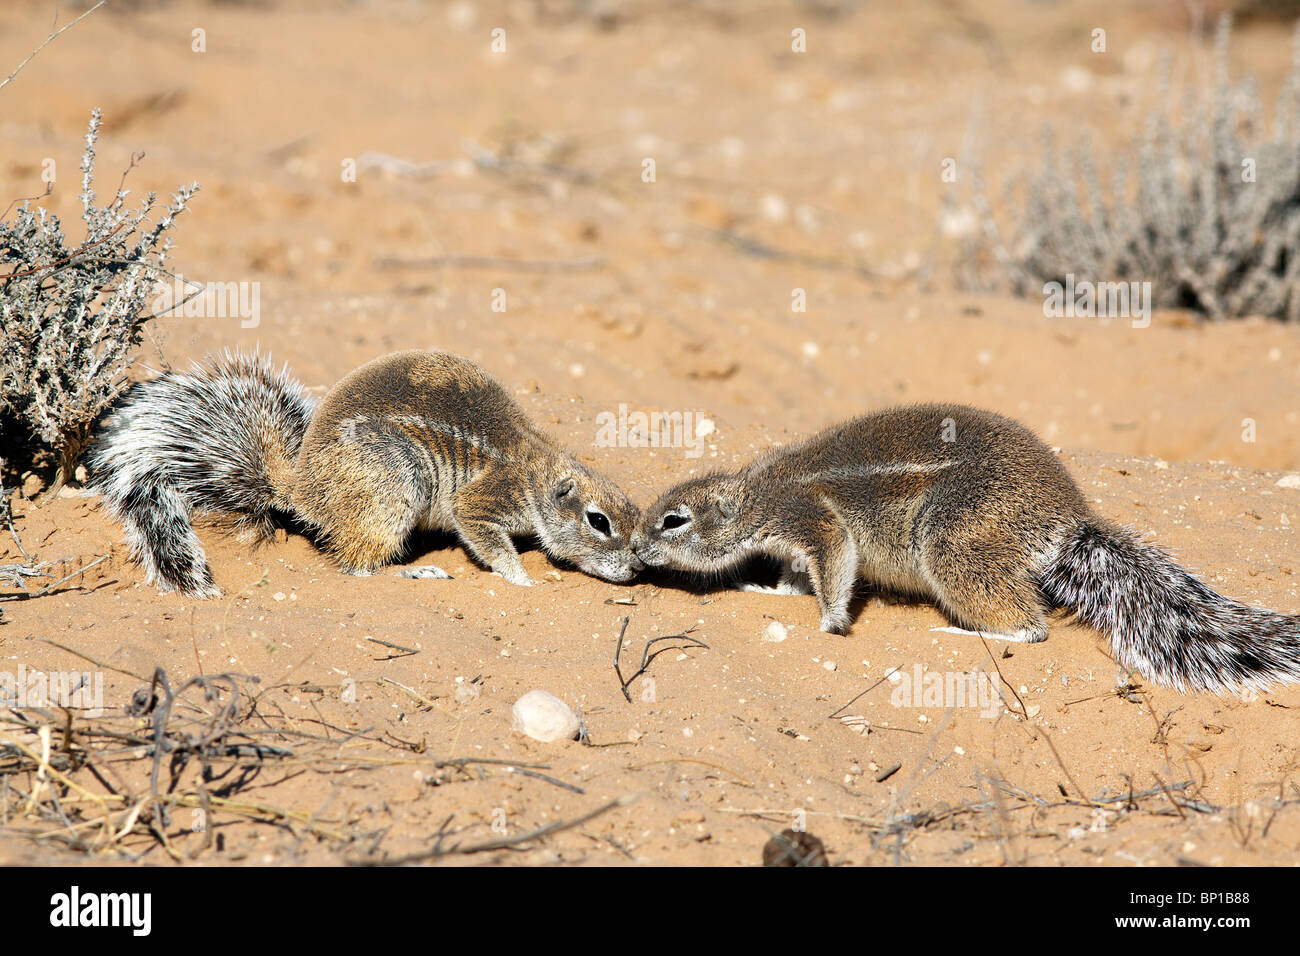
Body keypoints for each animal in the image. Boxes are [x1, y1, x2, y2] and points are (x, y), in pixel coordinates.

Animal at [87, 348, 644, 595]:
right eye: (598, 522)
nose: (638, 570)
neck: (537, 471)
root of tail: (301, 489)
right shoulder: (484, 502)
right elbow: (486, 538)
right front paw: (522, 577)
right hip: (395, 485)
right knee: (360, 566)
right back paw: (415, 570)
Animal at [629, 403, 1300, 697]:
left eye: (673, 521)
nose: (634, 548)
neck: (758, 494)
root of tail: (1068, 520)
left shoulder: (813, 519)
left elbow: (836, 564)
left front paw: (829, 622)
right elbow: (801, 574)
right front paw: (769, 585)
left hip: (952, 543)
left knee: (1029, 627)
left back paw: (958, 630)